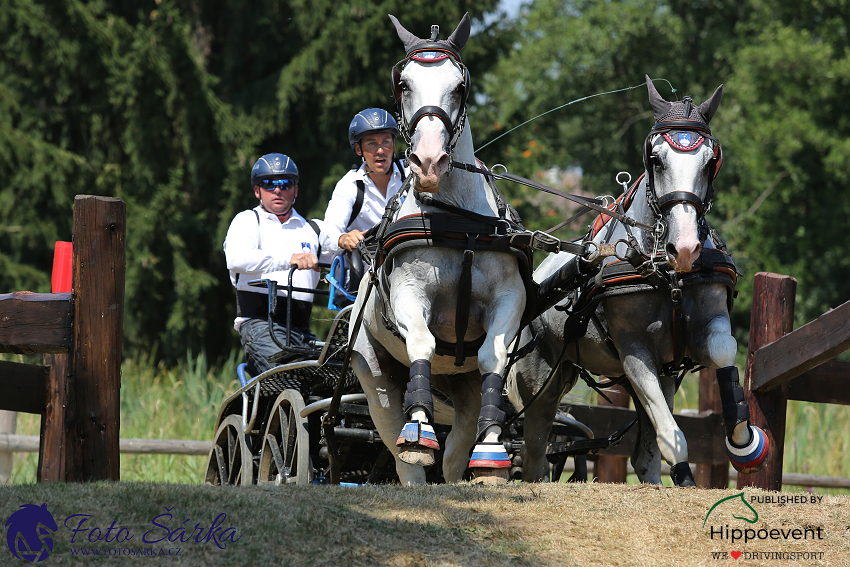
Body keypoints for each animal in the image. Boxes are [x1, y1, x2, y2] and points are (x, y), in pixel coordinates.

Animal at [350, 13, 524, 484]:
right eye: (404, 84)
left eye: (459, 86)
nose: (429, 162)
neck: (455, 220)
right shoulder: (410, 294)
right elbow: (423, 344)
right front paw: (419, 430)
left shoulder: (509, 298)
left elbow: (492, 355)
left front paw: (492, 450)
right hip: (374, 376)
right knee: (400, 454)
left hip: (462, 390)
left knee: (452, 456)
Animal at [506, 74, 772, 484]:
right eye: (656, 159)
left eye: (710, 160)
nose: (685, 247)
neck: (664, 271)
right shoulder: (634, 352)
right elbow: (672, 437)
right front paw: (685, 473)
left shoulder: (696, 336)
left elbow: (723, 351)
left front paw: (744, 442)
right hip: (541, 381)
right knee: (535, 449)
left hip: (627, 375)